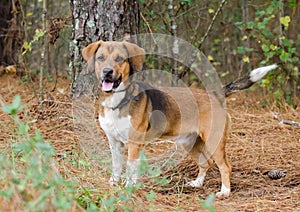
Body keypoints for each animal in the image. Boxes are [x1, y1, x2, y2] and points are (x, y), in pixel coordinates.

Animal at [81, 40, 276, 199]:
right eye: (100, 58)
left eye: (120, 59)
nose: (107, 72)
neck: (116, 102)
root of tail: (214, 94)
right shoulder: (113, 142)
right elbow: (116, 166)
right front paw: (113, 184)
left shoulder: (134, 144)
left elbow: (130, 169)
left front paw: (129, 188)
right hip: (189, 143)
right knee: (206, 162)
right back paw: (197, 183)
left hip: (214, 141)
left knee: (225, 166)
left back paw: (225, 191)